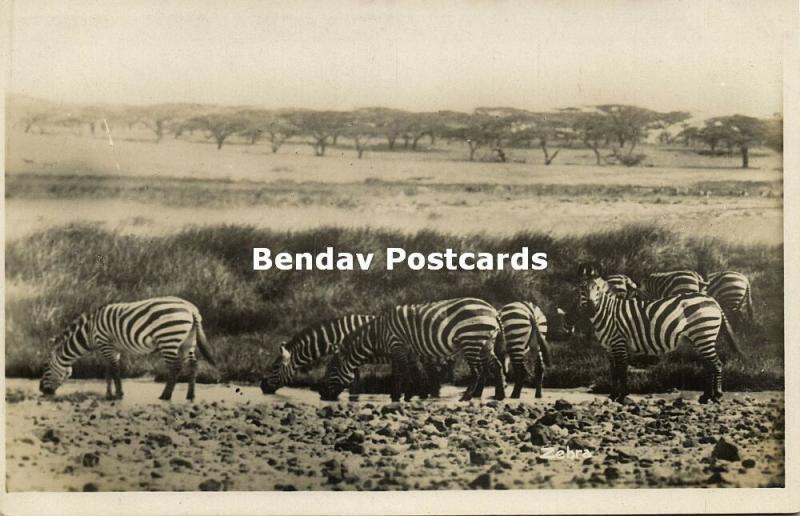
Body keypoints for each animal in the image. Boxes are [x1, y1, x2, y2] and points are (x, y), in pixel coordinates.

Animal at [39, 296, 216, 402]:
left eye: (46, 367)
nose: (41, 390)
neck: (89, 333)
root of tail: (191, 308)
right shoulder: (112, 349)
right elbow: (109, 372)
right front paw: (109, 394)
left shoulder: (105, 344)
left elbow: (115, 371)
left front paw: (118, 395)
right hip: (188, 341)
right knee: (193, 364)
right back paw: (190, 395)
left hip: (168, 338)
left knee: (175, 367)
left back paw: (165, 396)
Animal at [318, 298, 500, 404]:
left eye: (332, 370)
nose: (321, 394)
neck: (378, 334)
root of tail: (492, 309)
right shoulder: (406, 352)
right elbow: (409, 373)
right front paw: (408, 395)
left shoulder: (398, 346)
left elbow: (401, 373)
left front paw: (400, 397)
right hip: (486, 343)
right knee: (495, 366)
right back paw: (498, 395)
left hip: (471, 339)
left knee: (477, 371)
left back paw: (466, 397)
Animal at [576, 270, 744, 404]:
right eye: (582, 289)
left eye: (598, 289)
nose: (591, 308)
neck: (608, 313)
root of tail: (713, 301)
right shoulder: (609, 347)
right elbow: (613, 372)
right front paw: (612, 396)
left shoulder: (619, 342)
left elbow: (622, 370)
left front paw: (622, 396)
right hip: (701, 339)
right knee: (710, 365)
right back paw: (706, 396)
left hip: (704, 334)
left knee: (716, 364)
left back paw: (717, 395)